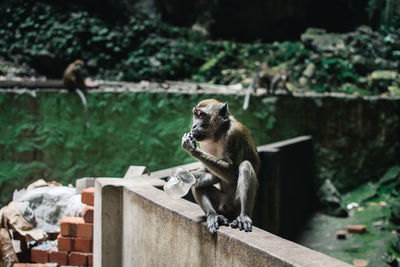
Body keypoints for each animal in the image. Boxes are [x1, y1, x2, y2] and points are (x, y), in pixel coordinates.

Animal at [182, 99, 262, 236]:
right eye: (196, 114)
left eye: (202, 115)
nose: (194, 126)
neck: (218, 134)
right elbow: (208, 172)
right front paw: (182, 176)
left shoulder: (233, 134)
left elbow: (232, 173)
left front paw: (191, 148)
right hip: (221, 202)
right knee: (196, 184)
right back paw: (213, 215)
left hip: (236, 203)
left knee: (245, 166)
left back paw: (244, 216)